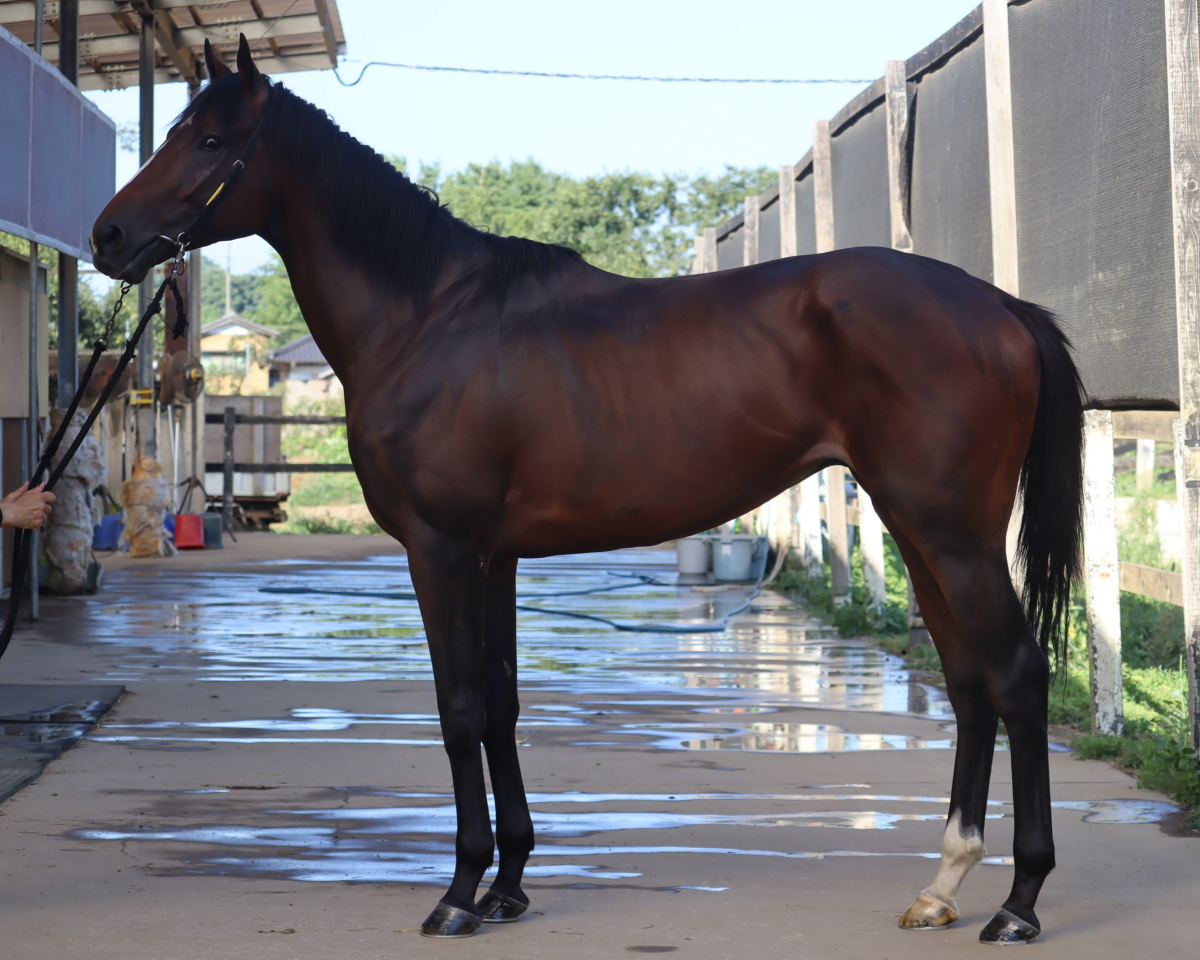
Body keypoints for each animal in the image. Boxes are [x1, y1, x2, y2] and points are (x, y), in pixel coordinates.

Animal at [90, 36, 1084, 945]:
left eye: (210, 140)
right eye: (173, 130)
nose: (107, 237)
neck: (428, 317)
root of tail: (1000, 308)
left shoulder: (441, 549)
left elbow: (458, 709)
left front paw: (460, 894)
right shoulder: (493, 557)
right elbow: (500, 705)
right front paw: (509, 886)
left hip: (952, 534)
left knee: (1016, 673)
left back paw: (1022, 902)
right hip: (920, 531)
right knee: (968, 683)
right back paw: (943, 887)